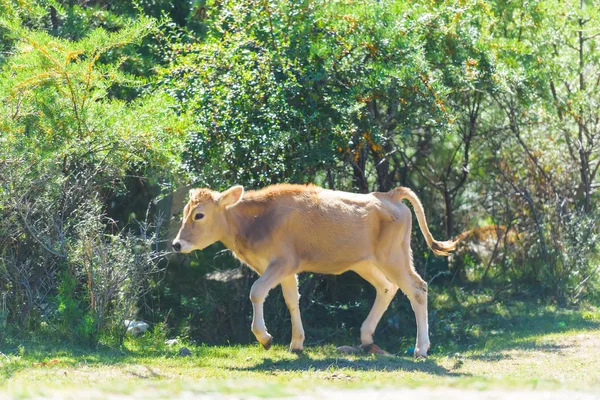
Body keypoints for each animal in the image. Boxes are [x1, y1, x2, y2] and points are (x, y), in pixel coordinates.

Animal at [173, 184, 460, 356]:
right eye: (184, 212)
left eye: (199, 215)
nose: (177, 244)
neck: (257, 219)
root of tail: (389, 195)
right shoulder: (286, 269)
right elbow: (292, 300)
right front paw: (297, 343)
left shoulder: (282, 263)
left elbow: (256, 291)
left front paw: (265, 337)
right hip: (365, 262)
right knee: (387, 287)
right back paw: (366, 338)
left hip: (394, 257)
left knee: (417, 289)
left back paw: (421, 349)